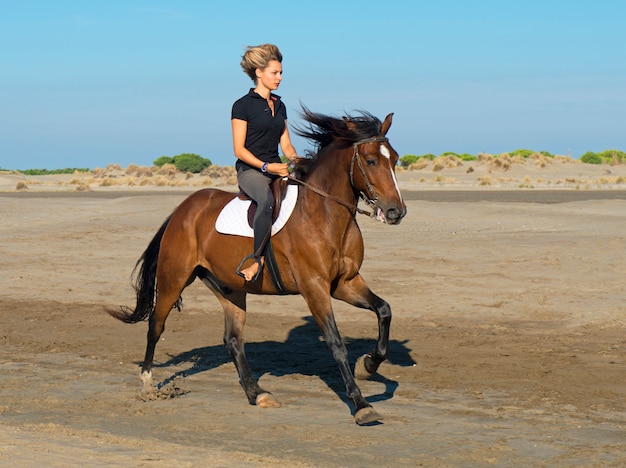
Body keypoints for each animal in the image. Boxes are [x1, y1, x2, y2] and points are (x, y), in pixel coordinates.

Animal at [108, 108, 404, 426]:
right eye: (371, 161)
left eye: (395, 158)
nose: (396, 212)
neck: (324, 213)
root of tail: (182, 209)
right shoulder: (314, 287)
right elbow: (336, 343)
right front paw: (361, 404)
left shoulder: (344, 282)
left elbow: (384, 309)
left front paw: (369, 364)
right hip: (173, 279)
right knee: (156, 325)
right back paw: (148, 384)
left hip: (231, 289)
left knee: (233, 340)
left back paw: (256, 393)